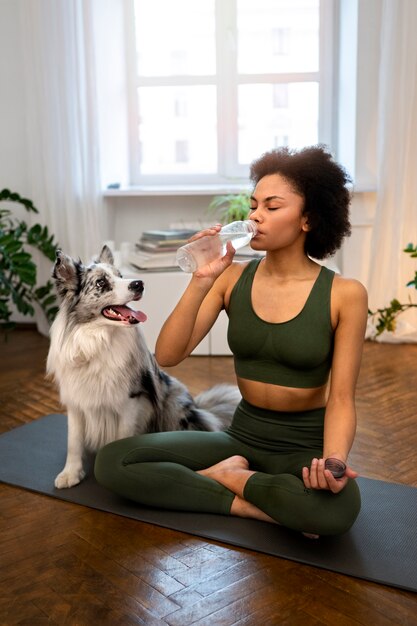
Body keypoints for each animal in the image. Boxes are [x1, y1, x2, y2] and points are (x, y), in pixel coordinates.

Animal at [46, 245, 239, 488]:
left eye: (121, 275)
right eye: (100, 282)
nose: (139, 283)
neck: (98, 342)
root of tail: (200, 408)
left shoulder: (130, 402)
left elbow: (121, 438)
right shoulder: (76, 402)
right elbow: (74, 441)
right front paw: (70, 474)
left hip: (173, 401)